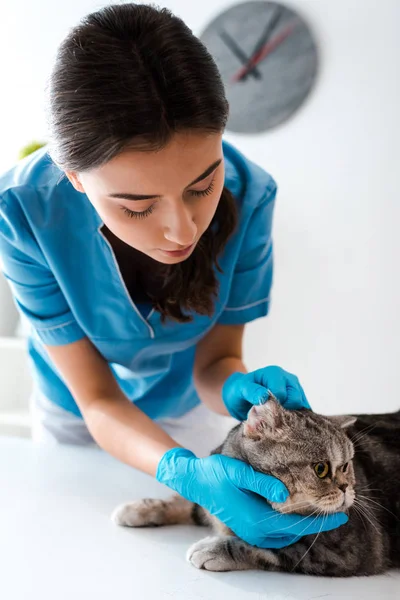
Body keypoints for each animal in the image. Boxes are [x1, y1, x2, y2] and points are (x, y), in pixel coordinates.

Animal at [110, 394, 400, 576]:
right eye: (321, 469)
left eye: (346, 465)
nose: (346, 489)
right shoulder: (213, 495)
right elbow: (189, 499)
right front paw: (140, 509)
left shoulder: (344, 551)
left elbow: (271, 547)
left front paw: (213, 548)